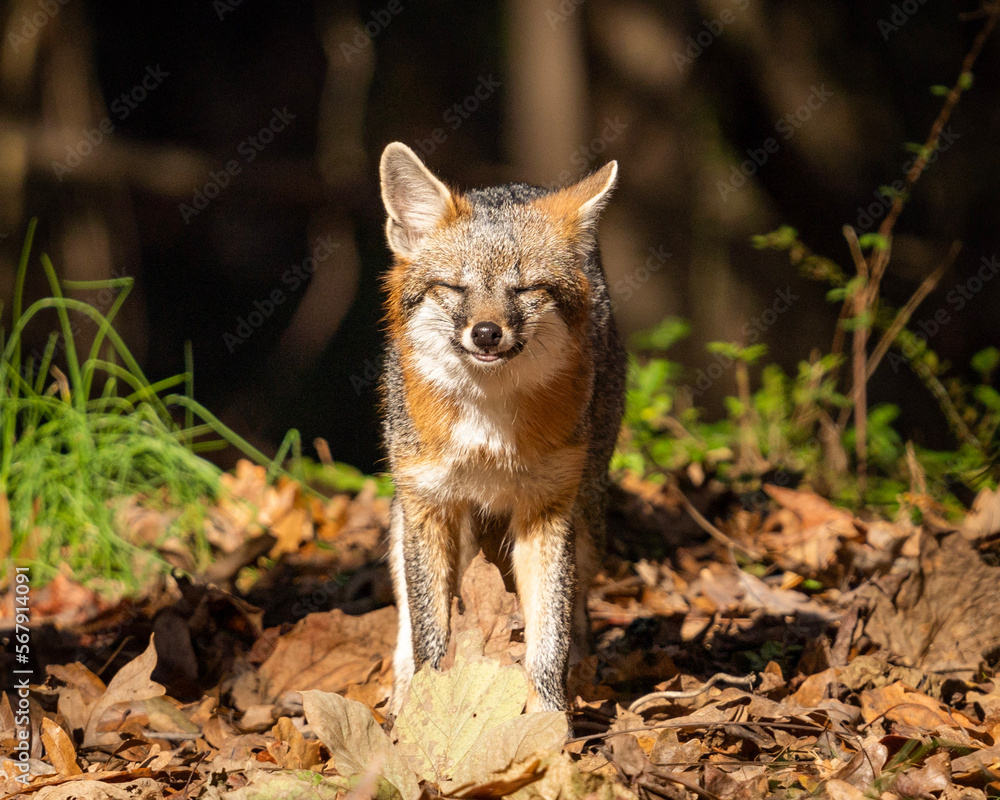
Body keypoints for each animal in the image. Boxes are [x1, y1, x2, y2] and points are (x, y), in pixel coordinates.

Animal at [378, 142, 626, 717]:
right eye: (455, 287)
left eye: (526, 289)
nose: (487, 332)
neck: (487, 423)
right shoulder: (427, 503)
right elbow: (429, 634)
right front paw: (426, 710)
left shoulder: (548, 509)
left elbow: (548, 637)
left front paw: (549, 721)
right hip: (406, 520)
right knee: (407, 618)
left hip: (587, 518)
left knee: (575, 611)